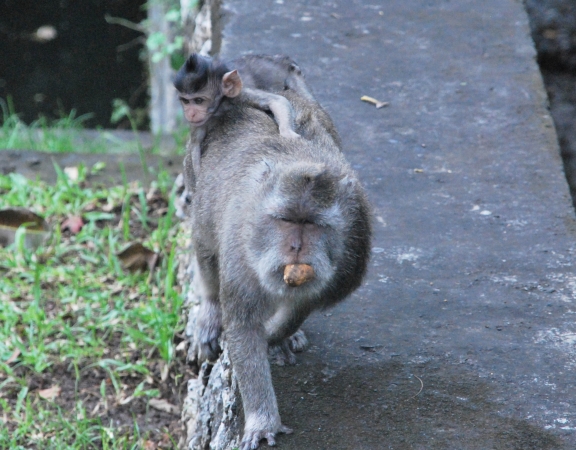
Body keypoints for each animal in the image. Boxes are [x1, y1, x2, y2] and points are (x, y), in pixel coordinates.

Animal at [187, 54, 372, 448]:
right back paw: (210, 310)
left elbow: (303, 305)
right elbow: (242, 326)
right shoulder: (240, 251)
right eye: (286, 219)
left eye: (313, 224)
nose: (296, 247)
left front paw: (277, 334)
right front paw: (262, 420)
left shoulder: (352, 251)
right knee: (205, 245)